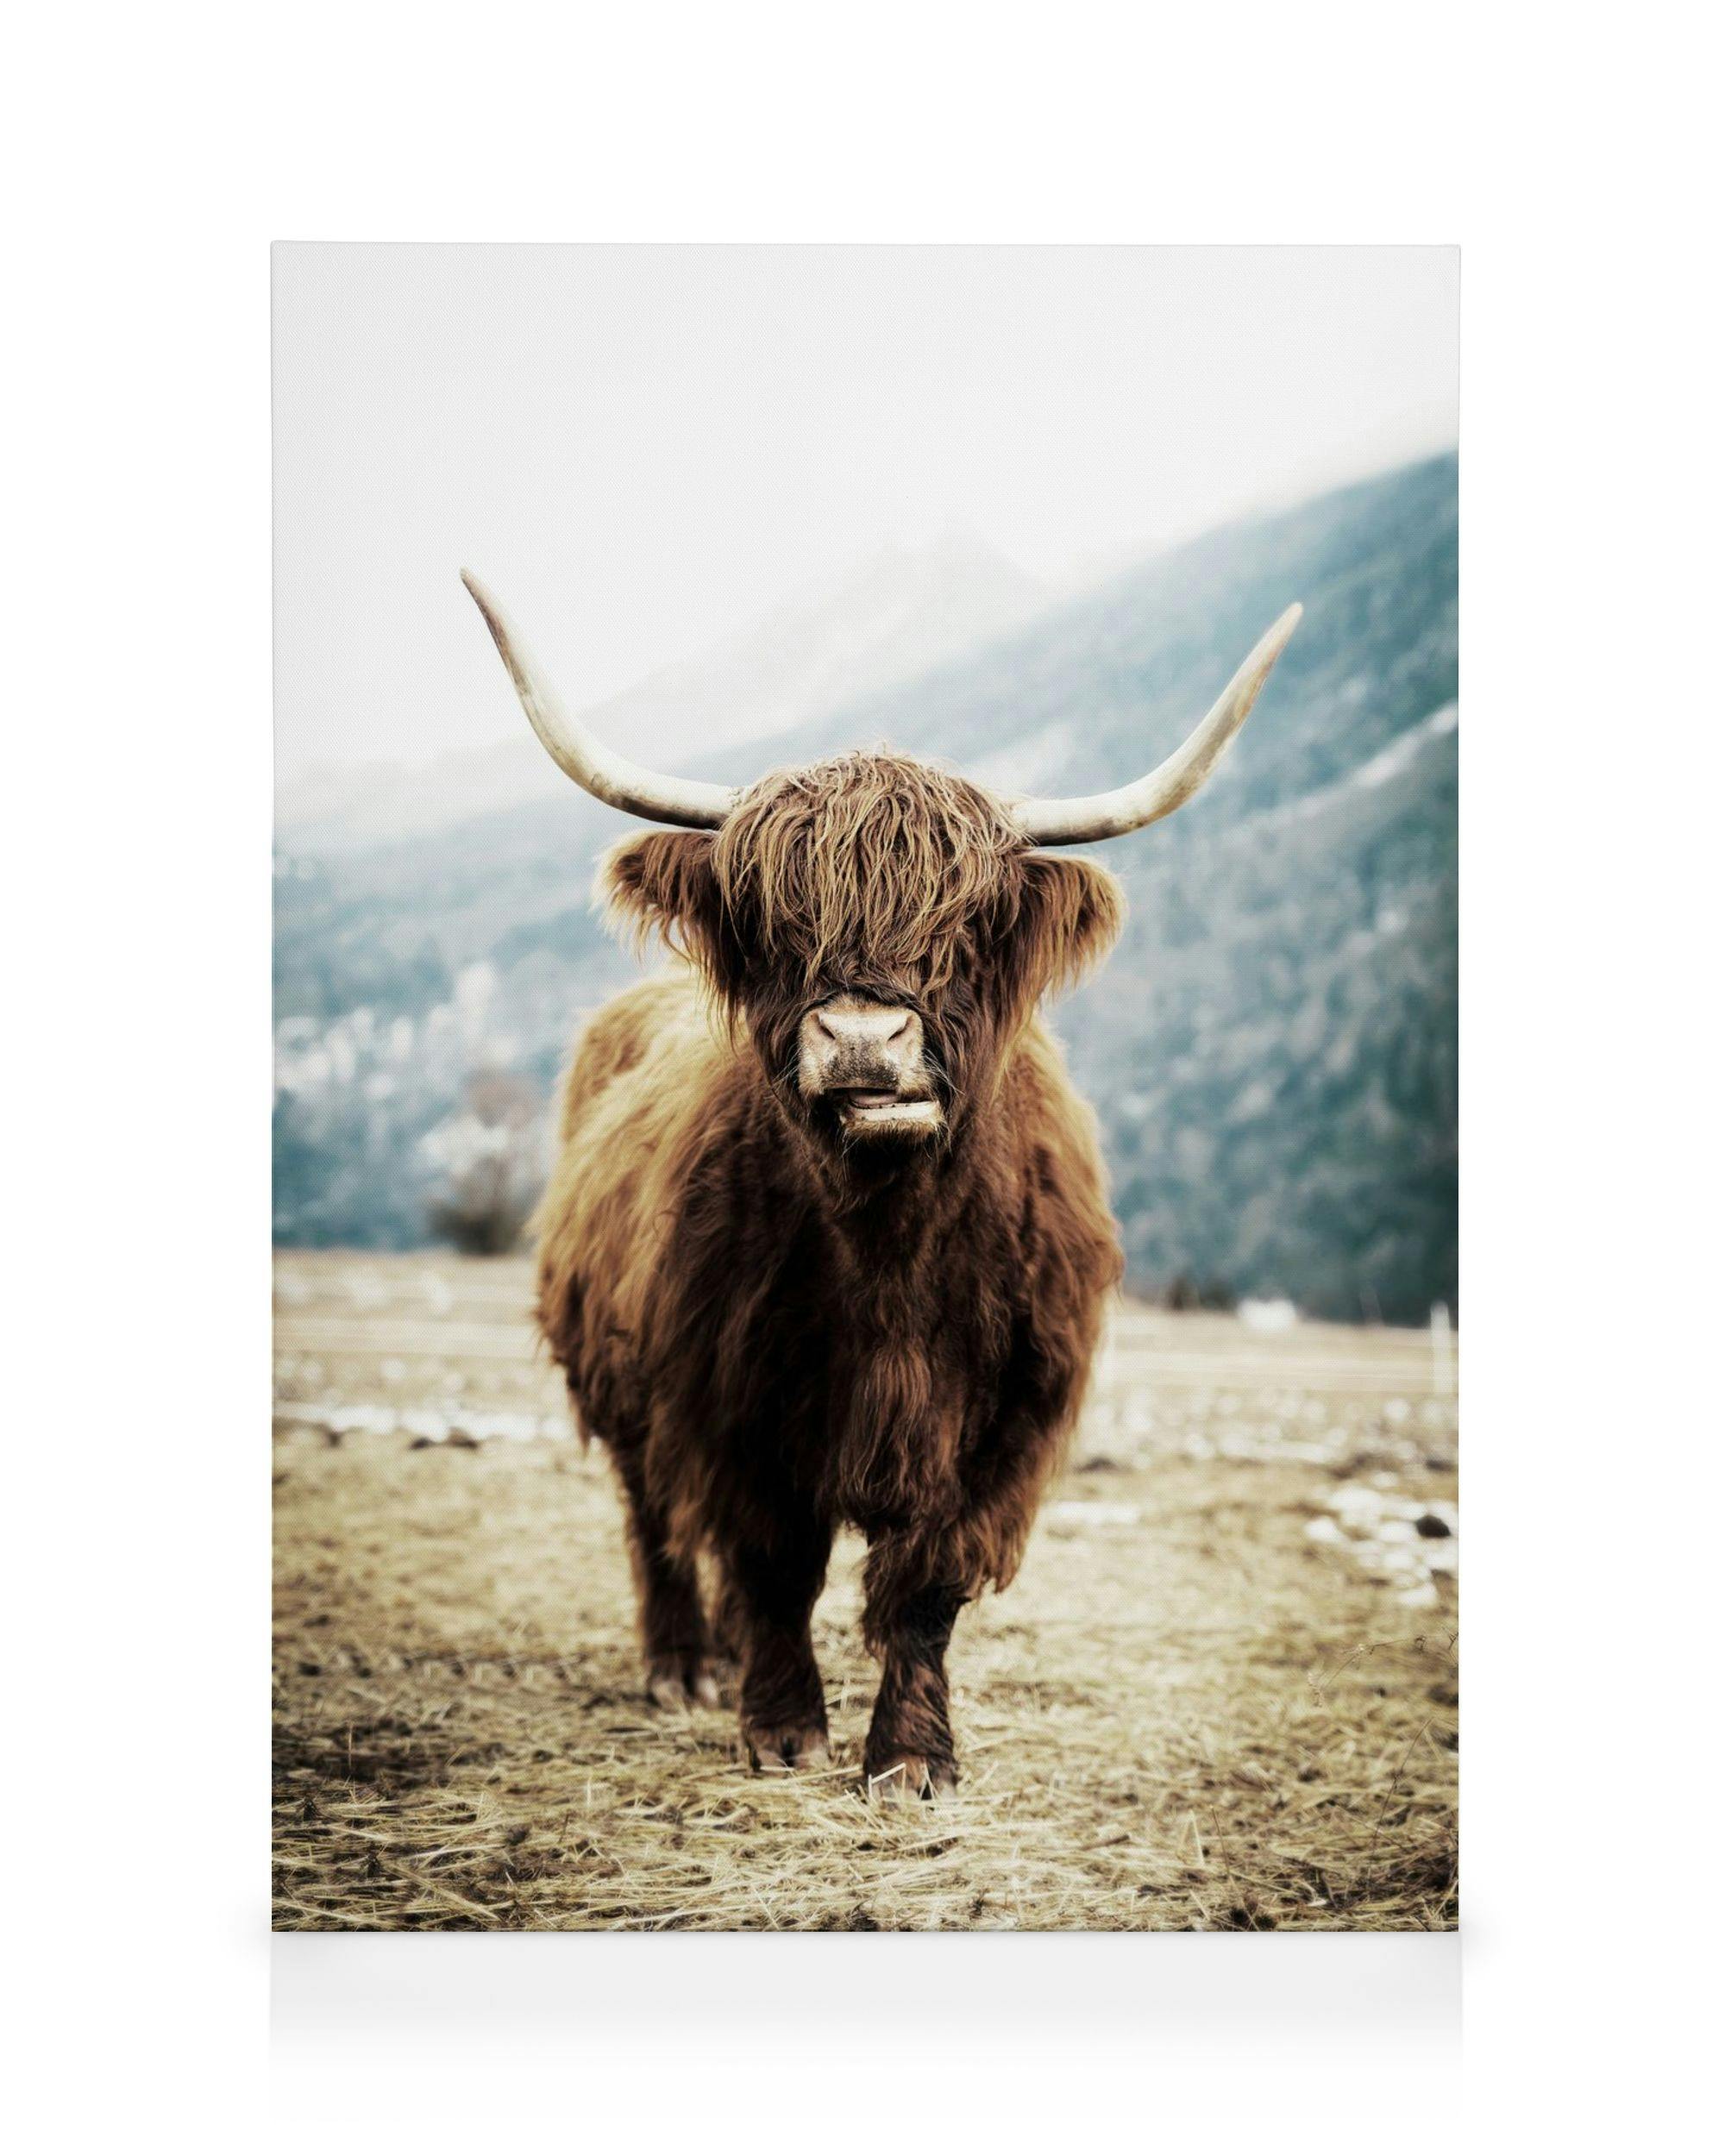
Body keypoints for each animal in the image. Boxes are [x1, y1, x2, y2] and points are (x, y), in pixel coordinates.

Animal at [463, 571, 1300, 1798]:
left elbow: (924, 1586)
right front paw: (781, 1732)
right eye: (773, 923)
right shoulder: (730, 1396)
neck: (890, 1248)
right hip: (616, 1376)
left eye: (965, 924)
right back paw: (683, 1664)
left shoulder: (1005, 1421)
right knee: (653, 1515)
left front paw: (909, 1757)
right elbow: (770, 1560)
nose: (862, 1039)